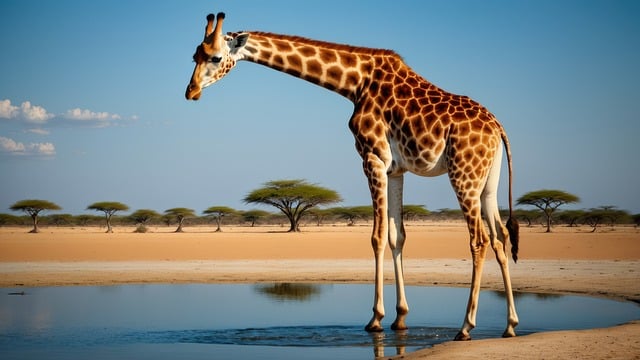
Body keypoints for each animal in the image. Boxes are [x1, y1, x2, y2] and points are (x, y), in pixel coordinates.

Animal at [185, 13, 520, 340]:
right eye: (194, 55)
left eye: (215, 57)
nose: (191, 92)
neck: (354, 83)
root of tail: (498, 128)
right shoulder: (395, 169)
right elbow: (397, 236)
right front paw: (400, 318)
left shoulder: (372, 157)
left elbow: (377, 237)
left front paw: (375, 319)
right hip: (487, 182)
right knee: (500, 237)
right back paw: (510, 324)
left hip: (463, 174)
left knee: (479, 240)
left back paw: (466, 326)